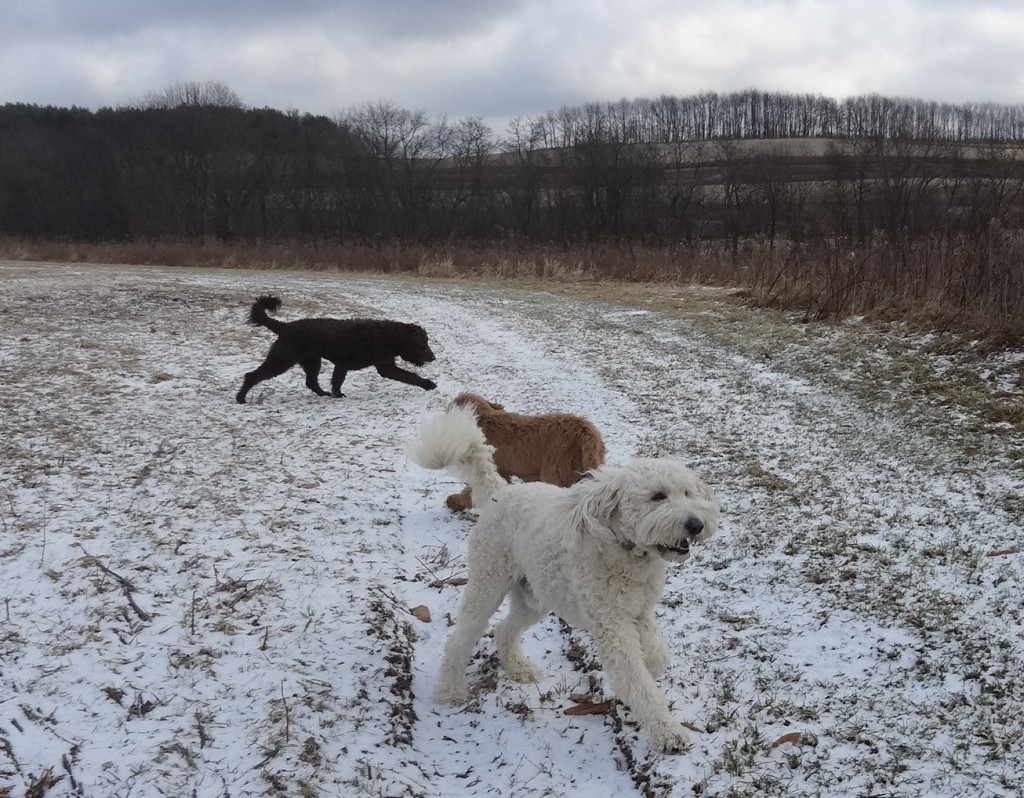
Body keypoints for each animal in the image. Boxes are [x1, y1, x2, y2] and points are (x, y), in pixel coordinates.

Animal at [235, 295, 436, 403]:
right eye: (422, 343)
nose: (433, 357)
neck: (390, 336)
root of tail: (285, 327)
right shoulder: (386, 367)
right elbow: (410, 376)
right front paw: (428, 384)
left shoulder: (342, 365)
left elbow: (337, 381)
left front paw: (336, 394)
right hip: (282, 359)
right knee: (252, 375)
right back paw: (241, 398)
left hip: (312, 362)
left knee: (311, 382)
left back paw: (323, 394)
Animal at [407, 405, 720, 753]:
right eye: (657, 496)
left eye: (687, 493)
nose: (695, 524)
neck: (627, 553)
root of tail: (500, 492)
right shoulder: (612, 625)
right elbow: (637, 681)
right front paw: (667, 732)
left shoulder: (640, 610)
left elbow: (656, 655)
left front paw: (652, 666)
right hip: (488, 582)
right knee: (461, 638)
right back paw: (450, 691)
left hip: (536, 595)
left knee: (503, 630)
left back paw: (519, 669)